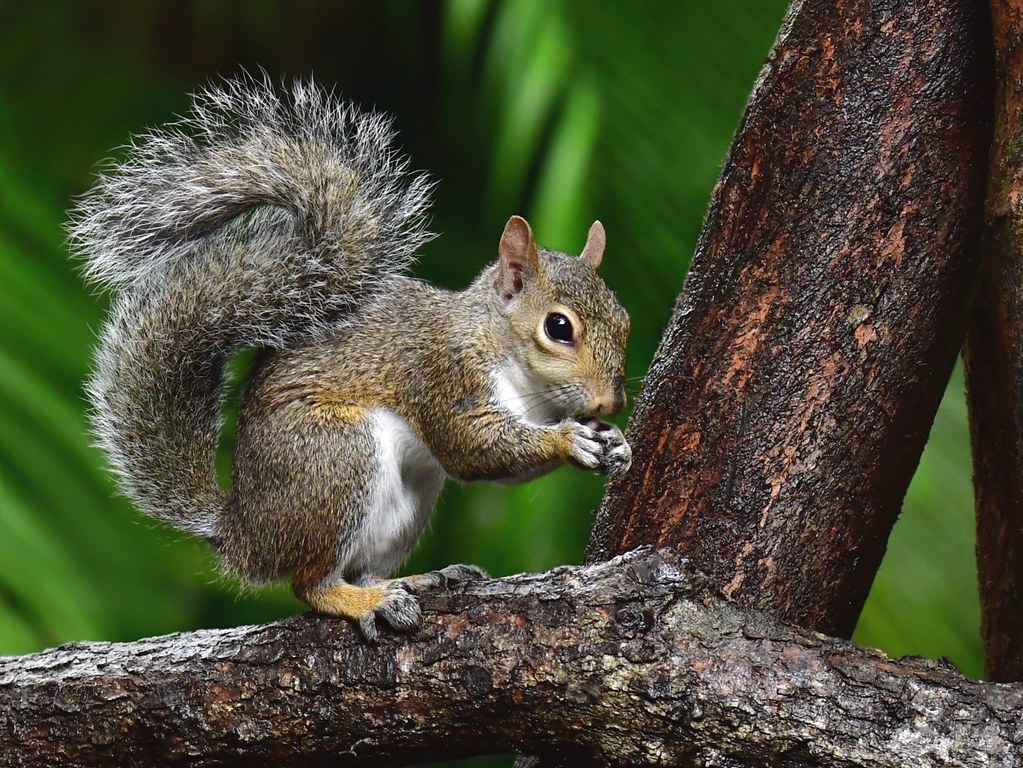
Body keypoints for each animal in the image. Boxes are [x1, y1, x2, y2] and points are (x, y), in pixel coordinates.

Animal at [69, 75, 631, 641]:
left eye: (625, 320)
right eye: (558, 328)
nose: (611, 403)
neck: (518, 375)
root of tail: (245, 534)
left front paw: (615, 442)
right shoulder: (444, 376)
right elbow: (472, 450)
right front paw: (569, 440)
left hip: (405, 505)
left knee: (358, 567)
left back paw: (415, 579)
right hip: (337, 456)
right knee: (309, 584)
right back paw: (364, 600)